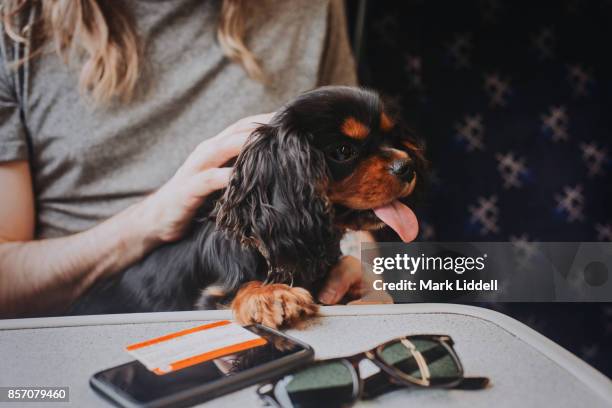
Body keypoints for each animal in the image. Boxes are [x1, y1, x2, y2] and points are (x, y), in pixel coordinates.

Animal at [70, 87, 426, 328]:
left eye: (390, 138)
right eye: (342, 151)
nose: (407, 166)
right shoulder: (208, 297)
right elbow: (239, 288)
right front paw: (269, 295)